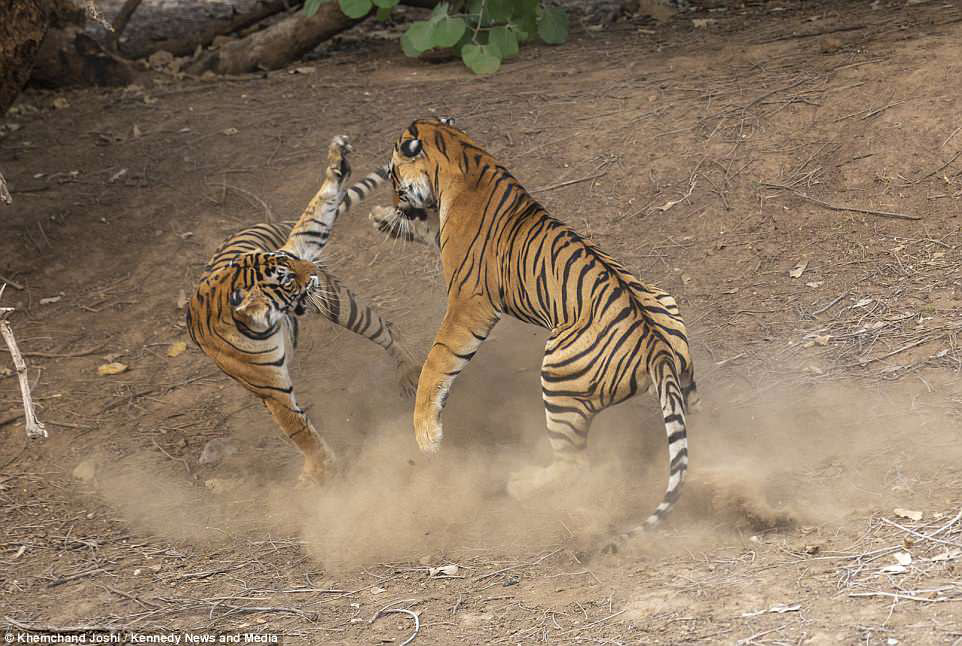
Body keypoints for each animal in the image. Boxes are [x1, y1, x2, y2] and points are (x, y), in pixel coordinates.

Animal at [186, 138, 418, 492]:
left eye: (287, 262)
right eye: (285, 277)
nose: (311, 268)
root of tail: (268, 223)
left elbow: (301, 433)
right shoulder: (271, 389)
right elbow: (299, 430)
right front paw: (319, 470)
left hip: (337, 302)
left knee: (384, 328)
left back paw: (410, 373)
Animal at [376, 119, 696, 548]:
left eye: (393, 178)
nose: (394, 202)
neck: (463, 153)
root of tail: (656, 348)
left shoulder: (468, 303)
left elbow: (437, 361)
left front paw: (427, 435)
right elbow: (425, 230)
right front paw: (382, 218)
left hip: (558, 377)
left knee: (575, 464)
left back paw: (521, 484)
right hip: (670, 321)